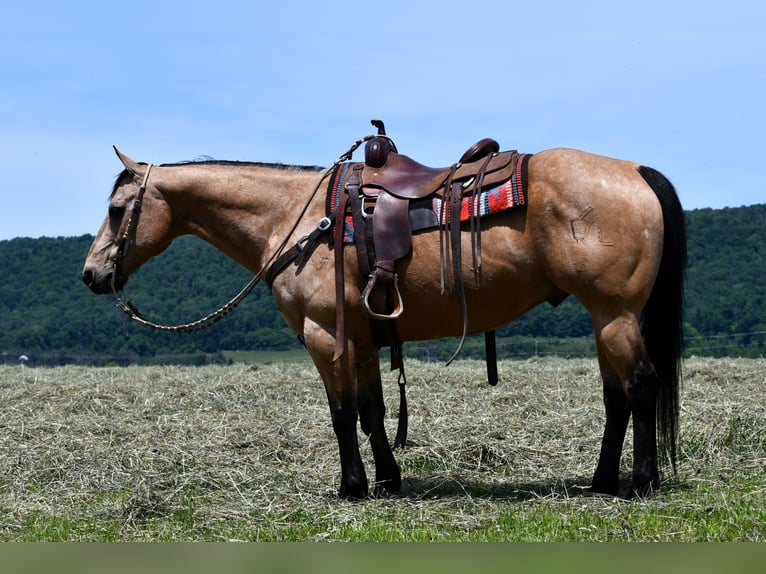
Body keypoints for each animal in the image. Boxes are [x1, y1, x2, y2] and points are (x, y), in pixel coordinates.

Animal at [81, 126, 688, 500]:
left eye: (116, 209)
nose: (91, 275)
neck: (297, 220)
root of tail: (637, 171)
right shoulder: (365, 338)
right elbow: (372, 412)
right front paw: (387, 482)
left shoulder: (325, 335)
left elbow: (342, 413)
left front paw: (351, 487)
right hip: (606, 318)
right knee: (616, 397)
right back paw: (602, 481)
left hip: (614, 314)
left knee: (641, 385)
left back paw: (641, 481)